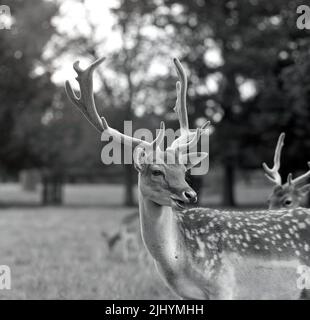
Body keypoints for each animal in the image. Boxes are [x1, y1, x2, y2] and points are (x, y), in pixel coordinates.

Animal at [66, 57, 310, 300]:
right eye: (156, 171)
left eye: (184, 170)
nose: (190, 194)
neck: (177, 261)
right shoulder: (187, 295)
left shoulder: (223, 285)